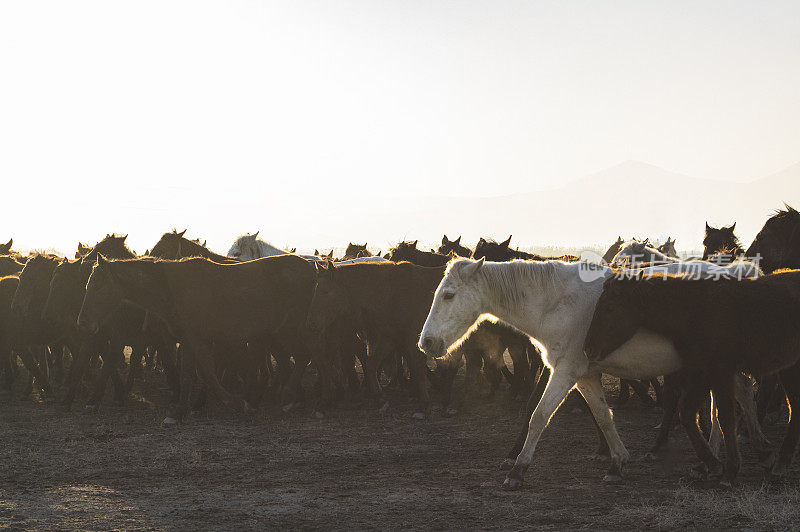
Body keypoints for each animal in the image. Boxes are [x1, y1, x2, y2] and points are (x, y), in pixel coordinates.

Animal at [418, 258, 764, 490]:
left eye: (448, 295)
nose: (427, 343)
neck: (557, 303)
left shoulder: (565, 372)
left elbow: (539, 416)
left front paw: (517, 470)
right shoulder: (583, 377)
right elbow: (603, 416)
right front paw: (617, 463)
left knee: (733, 402)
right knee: (730, 402)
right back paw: (716, 457)